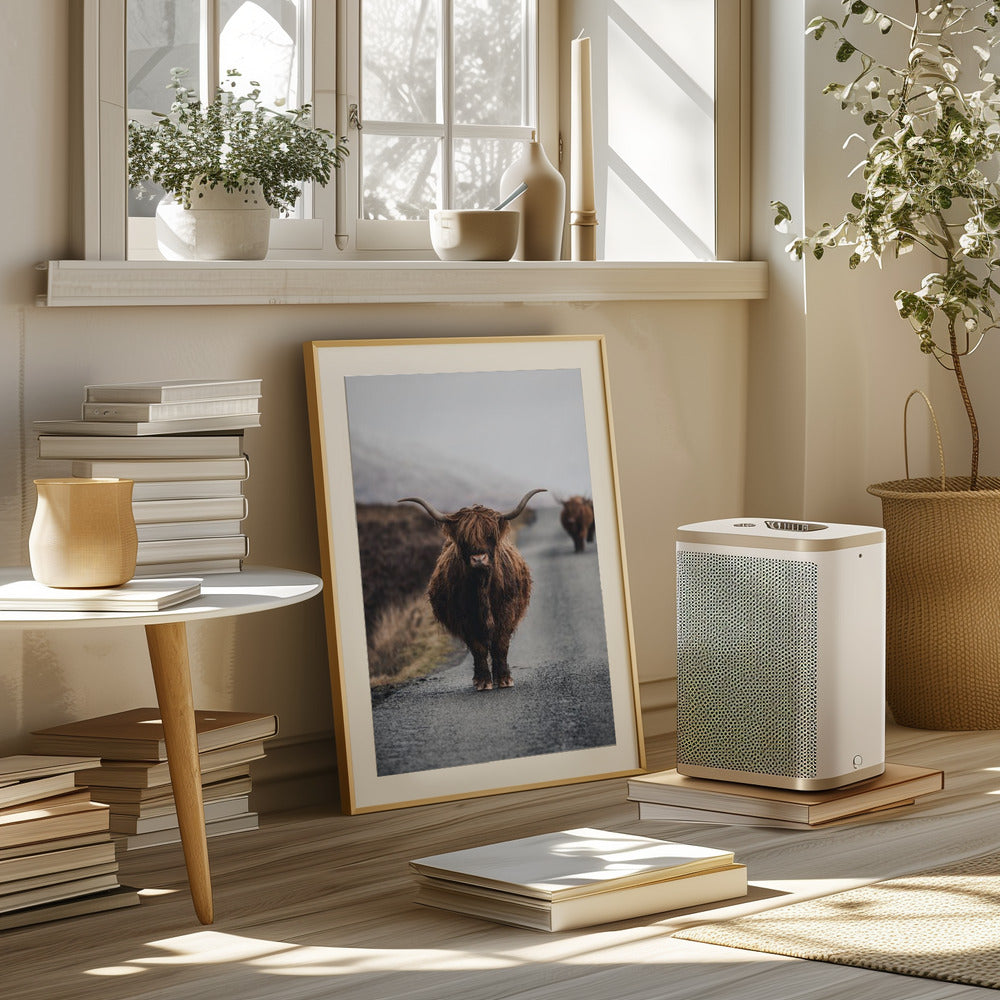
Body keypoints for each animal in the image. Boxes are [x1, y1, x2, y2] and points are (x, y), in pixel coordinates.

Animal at [398, 488, 545, 691]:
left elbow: (500, 645)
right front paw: (483, 681)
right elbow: (478, 648)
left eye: (490, 536)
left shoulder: (506, 612)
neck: (482, 585)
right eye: (464, 539)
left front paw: (504, 679)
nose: (479, 559)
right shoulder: (464, 618)